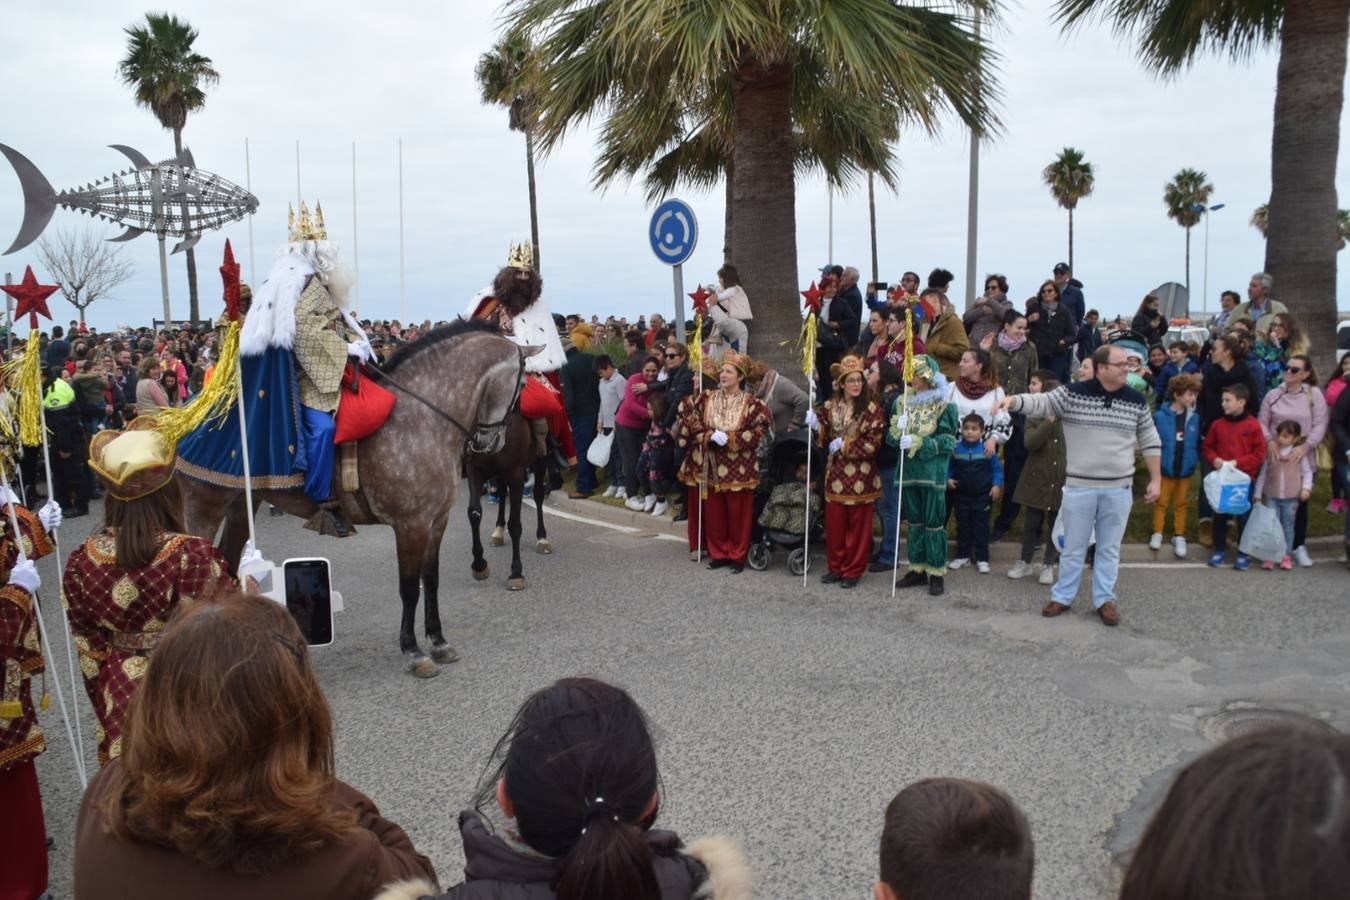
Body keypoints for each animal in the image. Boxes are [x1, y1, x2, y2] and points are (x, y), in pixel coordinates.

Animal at [178, 319, 531, 680]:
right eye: (523, 384)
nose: (491, 443)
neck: (423, 420)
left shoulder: (437, 520)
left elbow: (430, 580)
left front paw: (438, 640)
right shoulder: (411, 525)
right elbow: (408, 587)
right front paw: (413, 650)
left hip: (240, 507)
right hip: (204, 508)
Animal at [464, 410, 548, 591]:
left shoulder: (516, 473)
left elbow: (515, 524)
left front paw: (516, 573)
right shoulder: (473, 469)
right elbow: (474, 513)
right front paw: (479, 565)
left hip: (542, 457)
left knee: (538, 493)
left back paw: (542, 538)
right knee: (502, 492)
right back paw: (498, 530)